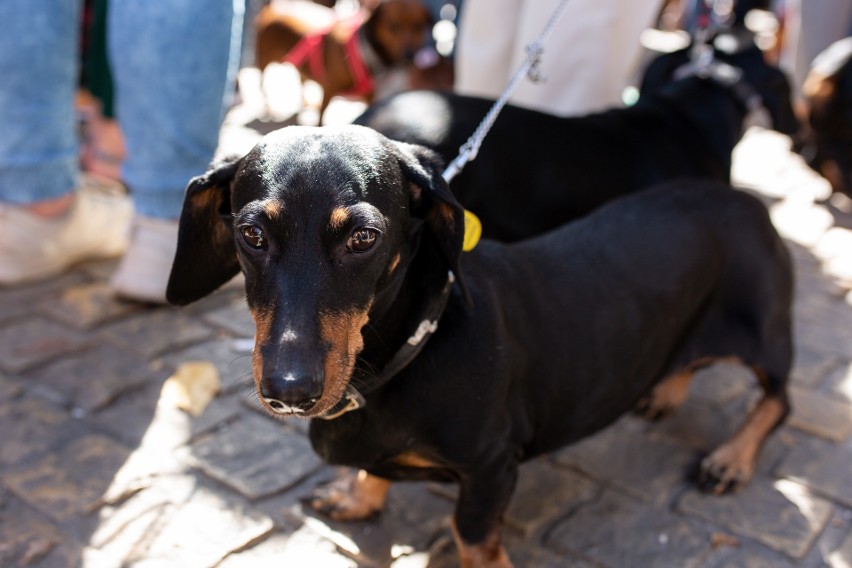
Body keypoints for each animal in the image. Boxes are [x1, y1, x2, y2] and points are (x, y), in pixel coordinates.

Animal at [170, 125, 796, 568]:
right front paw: (359, 496)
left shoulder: (492, 467)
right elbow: (375, 473)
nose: (289, 390)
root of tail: (746, 200)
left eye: (364, 238)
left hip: (765, 335)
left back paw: (731, 458)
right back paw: (666, 390)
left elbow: (471, 539)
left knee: (779, 401)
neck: (405, 355)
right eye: (251, 234)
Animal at [255, 0, 432, 120]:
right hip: (263, 62)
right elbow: (321, 121)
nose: (409, 57)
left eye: (418, 26)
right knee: (262, 85)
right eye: (392, 26)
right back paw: (269, 108)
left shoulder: (369, 99)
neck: (364, 51)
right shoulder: (328, 89)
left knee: (302, 80)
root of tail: (273, 7)